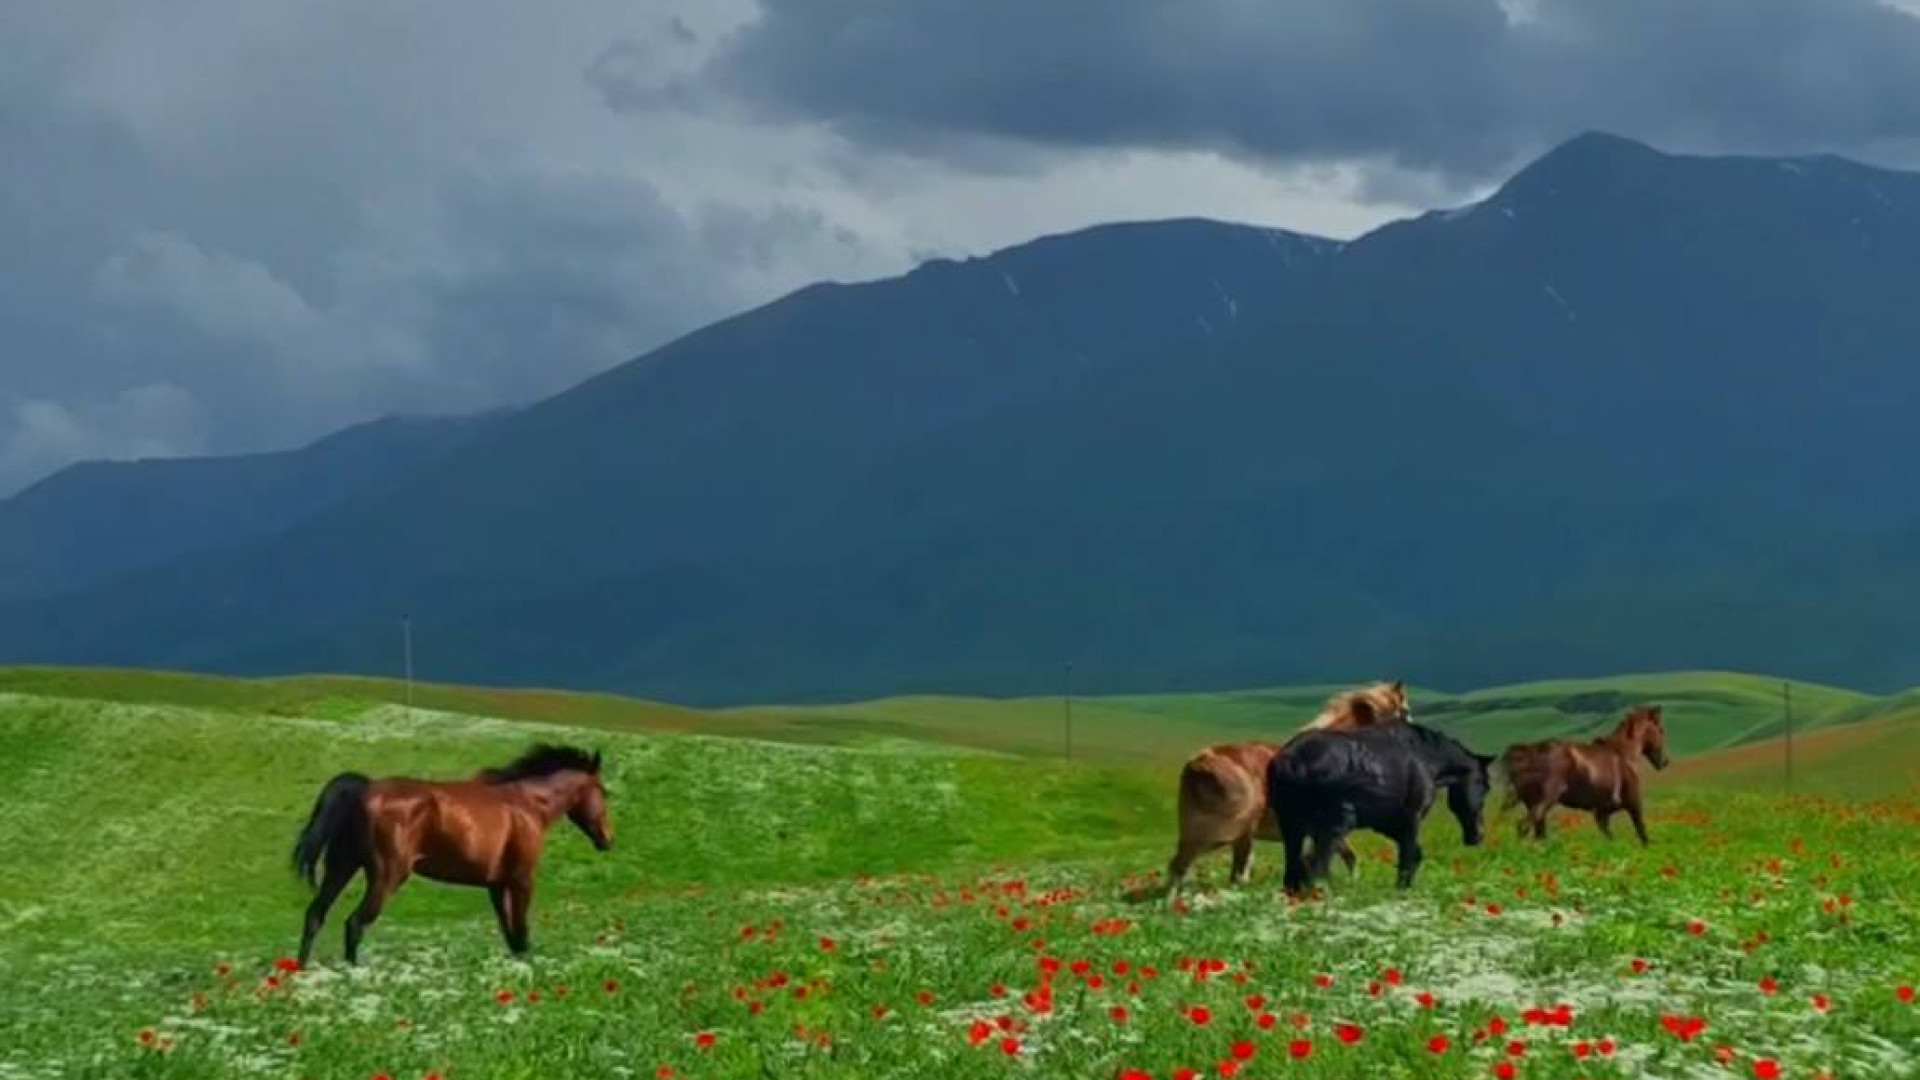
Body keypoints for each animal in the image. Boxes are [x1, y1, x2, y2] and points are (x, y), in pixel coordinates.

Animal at [289, 737, 614, 957]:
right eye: (603, 792)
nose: (608, 839)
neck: (527, 805)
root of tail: (364, 788)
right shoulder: (522, 880)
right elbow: (521, 935)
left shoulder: (496, 885)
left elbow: (510, 935)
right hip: (386, 876)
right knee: (354, 925)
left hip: (342, 867)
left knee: (315, 916)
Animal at [1152, 680, 1413, 899]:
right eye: (1406, 710)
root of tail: (1200, 764)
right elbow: (1340, 858)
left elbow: (1333, 858)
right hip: (1230, 832)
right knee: (1227, 872)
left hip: (1200, 832)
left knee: (1181, 866)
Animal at [1274, 718, 1497, 887]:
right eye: (1485, 787)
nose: (1478, 836)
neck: (1423, 757)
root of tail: (1295, 758)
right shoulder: (1411, 819)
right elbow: (1407, 860)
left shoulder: (1386, 824)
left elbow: (1415, 856)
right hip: (1331, 829)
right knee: (1316, 869)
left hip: (1293, 829)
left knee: (1293, 873)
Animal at [1497, 703, 1666, 845]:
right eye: (1661, 730)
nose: (1665, 761)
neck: (1625, 754)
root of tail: (1528, 752)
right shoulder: (1633, 802)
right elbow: (1642, 832)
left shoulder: (1602, 811)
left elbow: (1609, 836)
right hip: (1545, 800)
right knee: (1524, 826)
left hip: (1533, 803)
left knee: (1538, 832)